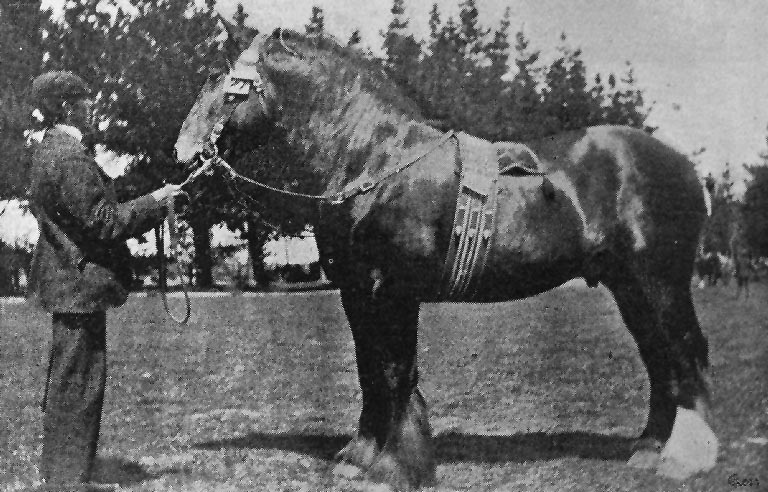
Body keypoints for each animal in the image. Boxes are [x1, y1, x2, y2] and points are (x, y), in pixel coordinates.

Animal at [174, 27, 720, 492]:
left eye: (230, 88)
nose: (183, 152)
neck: (376, 160)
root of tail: (686, 168)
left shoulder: (393, 289)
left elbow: (396, 370)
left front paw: (394, 466)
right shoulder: (357, 292)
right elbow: (370, 369)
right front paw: (359, 457)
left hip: (659, 283)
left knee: (684, 352)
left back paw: (684, 458)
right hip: (629, 288)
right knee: (659, 360)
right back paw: (650, 449)